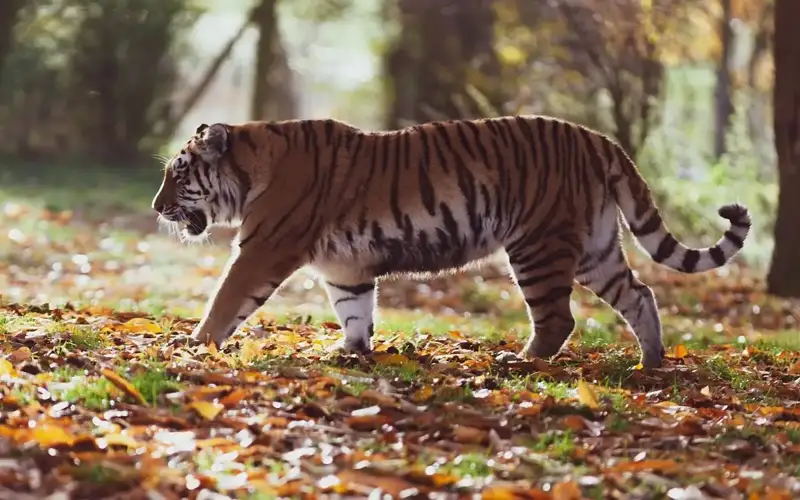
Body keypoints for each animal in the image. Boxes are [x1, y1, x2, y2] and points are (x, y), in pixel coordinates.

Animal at [151, 116, 751, 368]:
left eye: (178, 175)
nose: (156, 208)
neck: (255, 163)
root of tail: (599, 139)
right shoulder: (345, 267)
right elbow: (355, 310)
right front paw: (350, 351)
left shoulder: (263, 249)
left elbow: (226, 299)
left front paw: (195, 344)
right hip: (595, 249)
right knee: (640, 295)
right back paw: (651, 364)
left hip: (537, 246)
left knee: (558, 318)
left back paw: (520, 362)